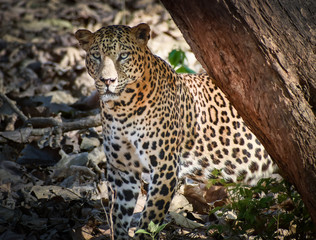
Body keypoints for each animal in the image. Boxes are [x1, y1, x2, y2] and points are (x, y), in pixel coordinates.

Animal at [76, 23, 276, 240]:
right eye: (96, 56)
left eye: (123, 55)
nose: (107, 80)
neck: (121, 109)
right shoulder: (123, 171)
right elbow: (119, 216)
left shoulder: (165, 167)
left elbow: (150, 217)